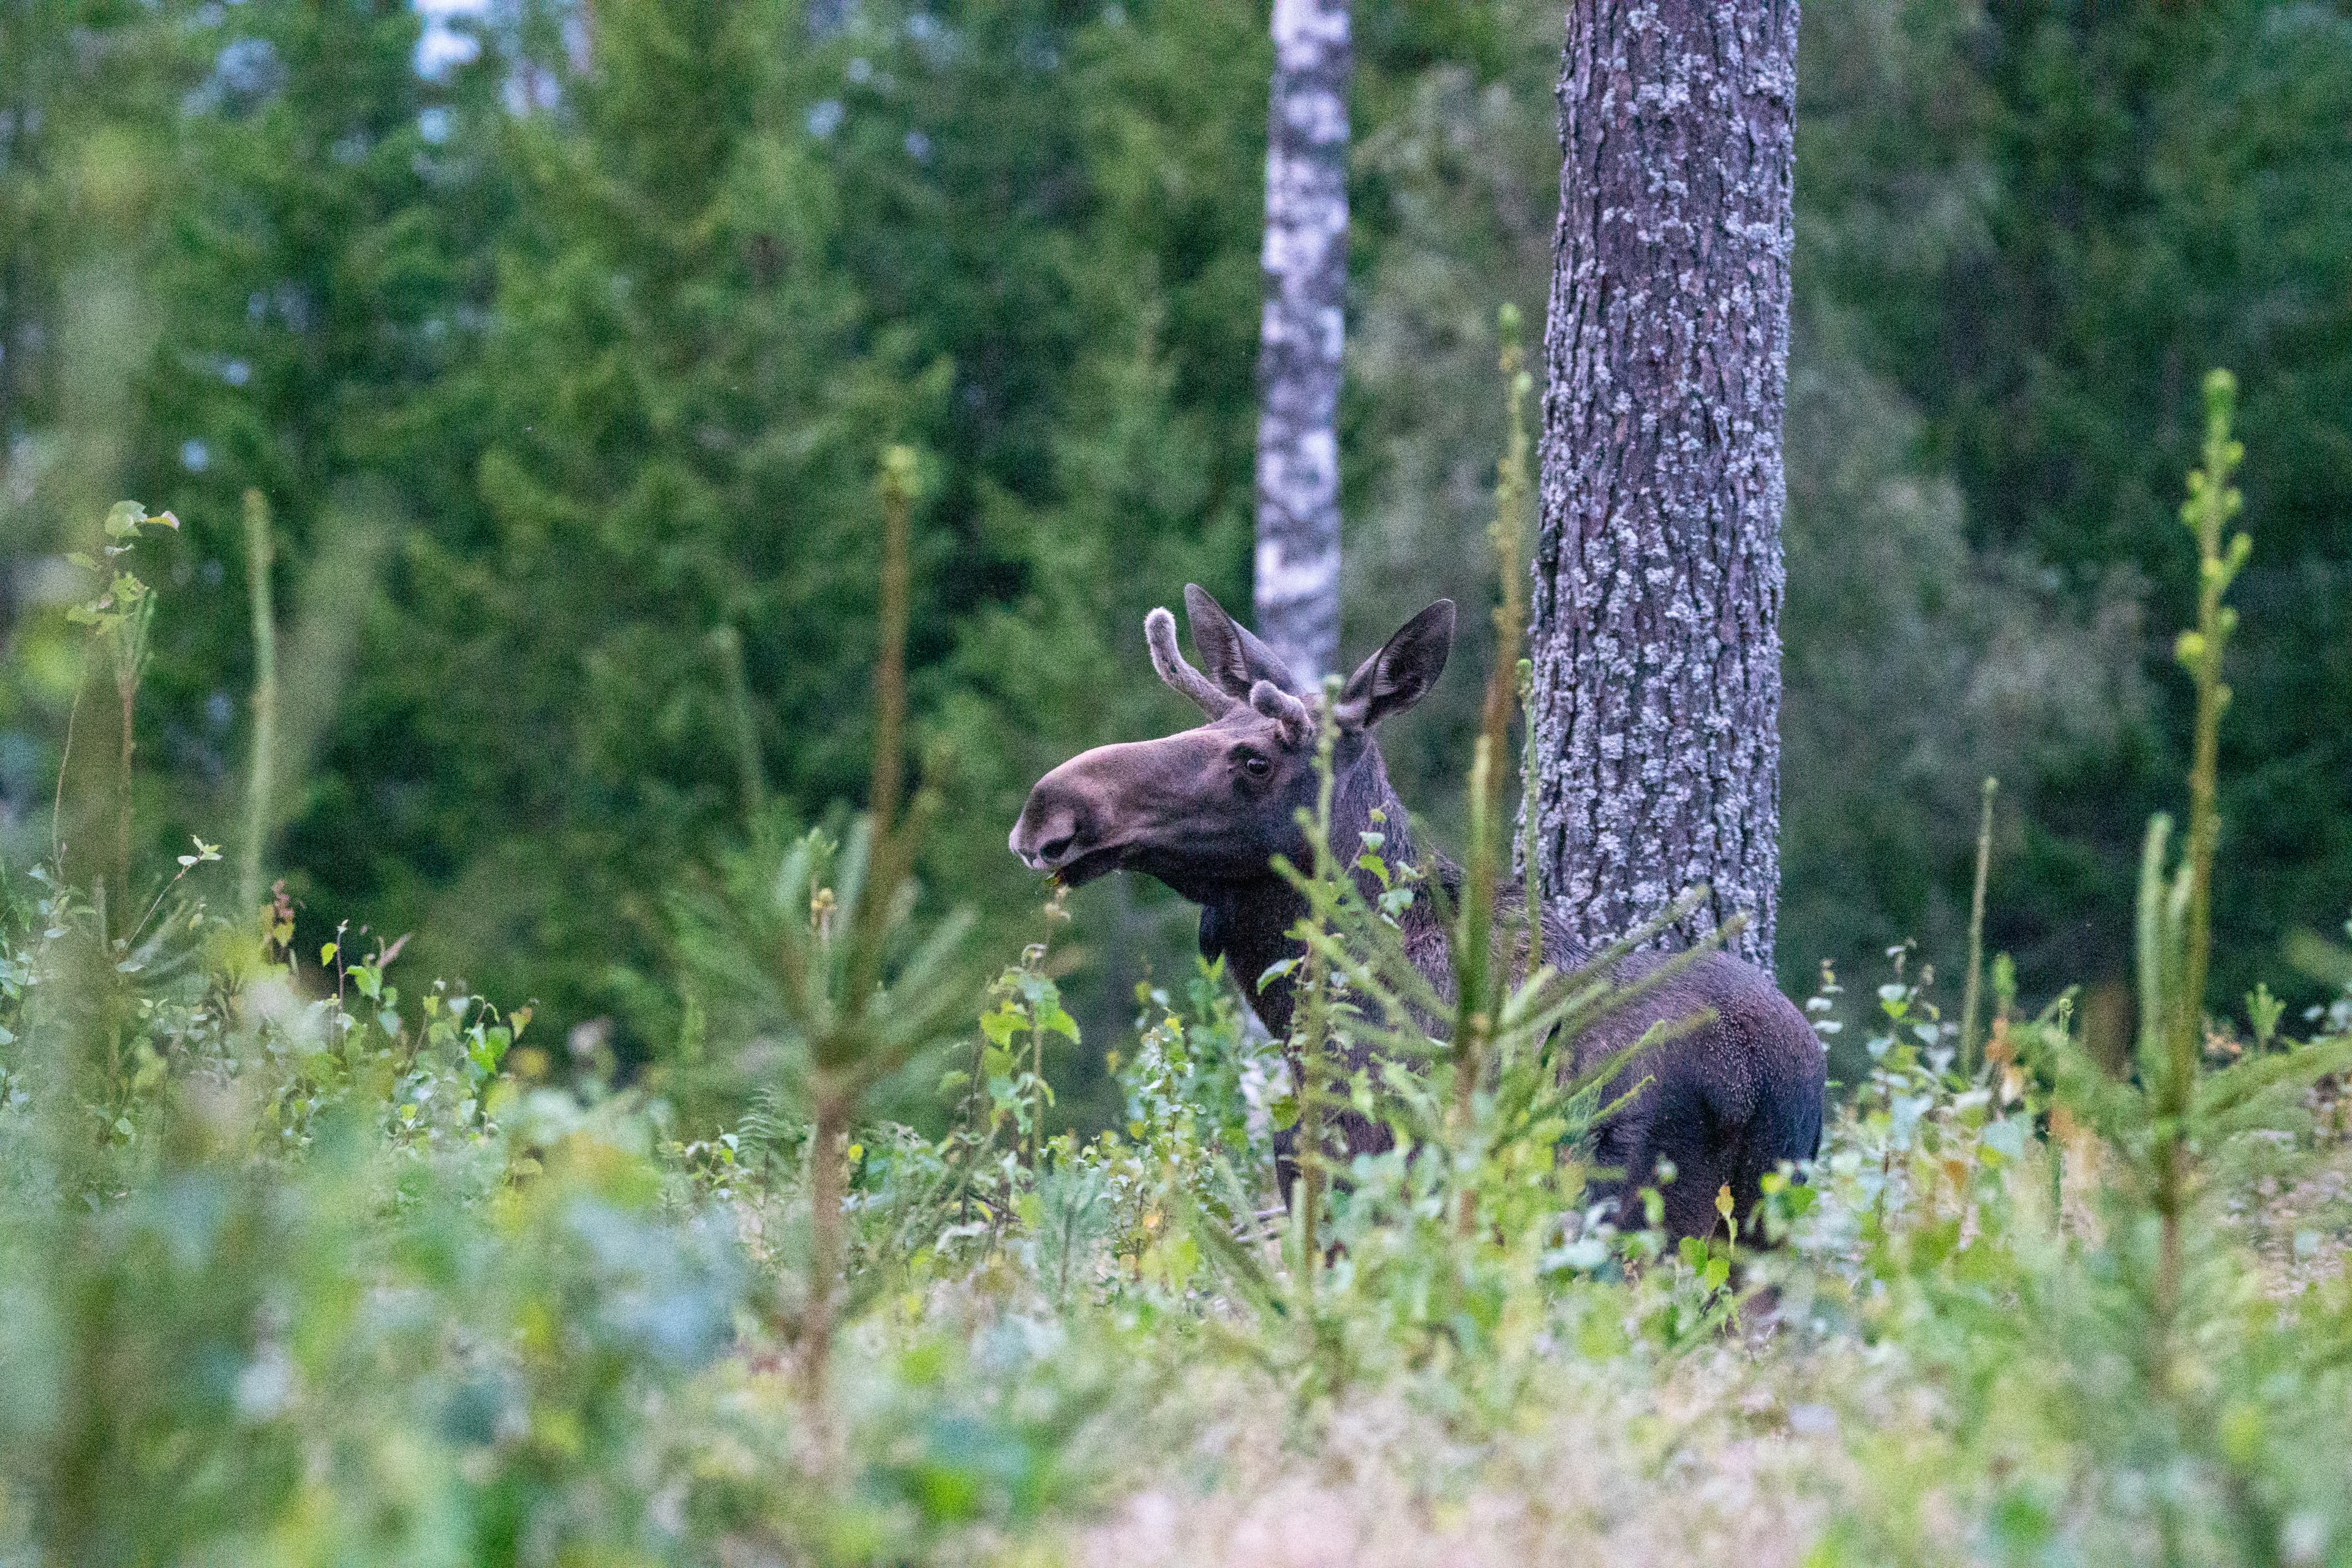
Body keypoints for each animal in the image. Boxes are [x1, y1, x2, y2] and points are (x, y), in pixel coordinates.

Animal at [1001, 582, 1825, 1241]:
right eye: (1206, 729)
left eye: (1254, 760)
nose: (1049, 808)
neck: (1302, 1000)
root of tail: (1757, 1083)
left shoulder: (1355, 1168)